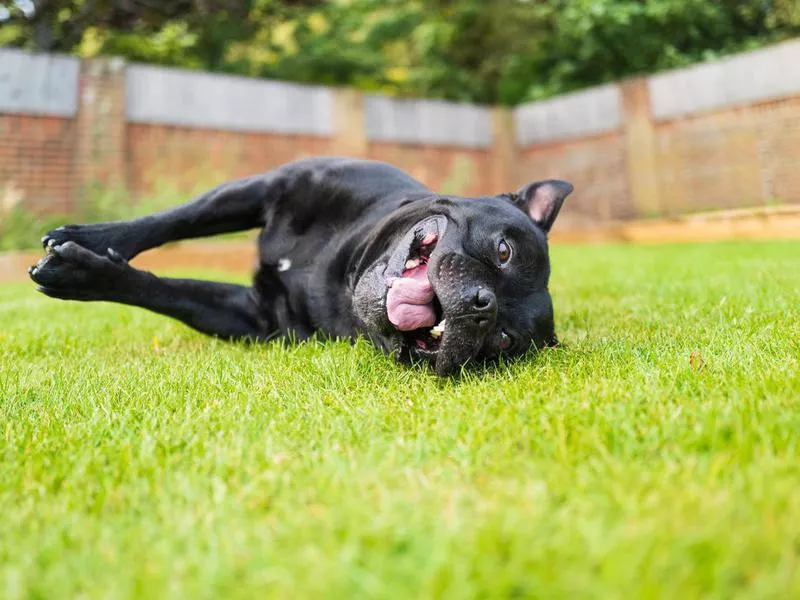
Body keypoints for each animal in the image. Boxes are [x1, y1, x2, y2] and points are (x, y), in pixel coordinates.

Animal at [28, 159, 572, 376]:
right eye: (504, 251)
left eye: (500, 340)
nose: (482, 305)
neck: (342, 266)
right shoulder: (267, 186)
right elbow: (174, 220)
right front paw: (94, 240)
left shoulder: (254, 316)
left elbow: (168, 292)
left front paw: (85, 274)